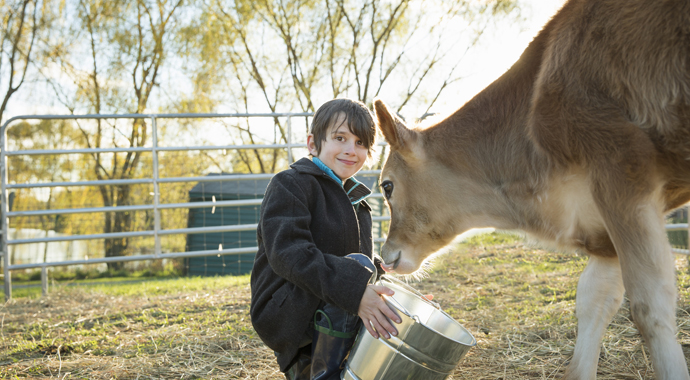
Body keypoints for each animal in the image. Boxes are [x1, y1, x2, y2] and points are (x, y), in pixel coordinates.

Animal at [370, 1, 688, 378]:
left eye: (387, 185)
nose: (384, 256)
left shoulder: (620, 175)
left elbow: (649, 307)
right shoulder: (602, 223)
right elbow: (594, 300)